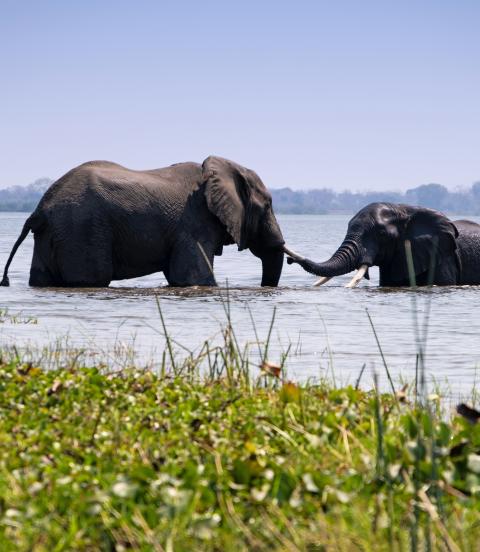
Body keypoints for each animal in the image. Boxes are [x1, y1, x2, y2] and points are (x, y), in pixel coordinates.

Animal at [1, 154, 298, 286]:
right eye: (268, 205)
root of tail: (40, 209)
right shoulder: (193, 224)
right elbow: (195, 278)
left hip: (55, 235)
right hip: (81, 231)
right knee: (91, 279)